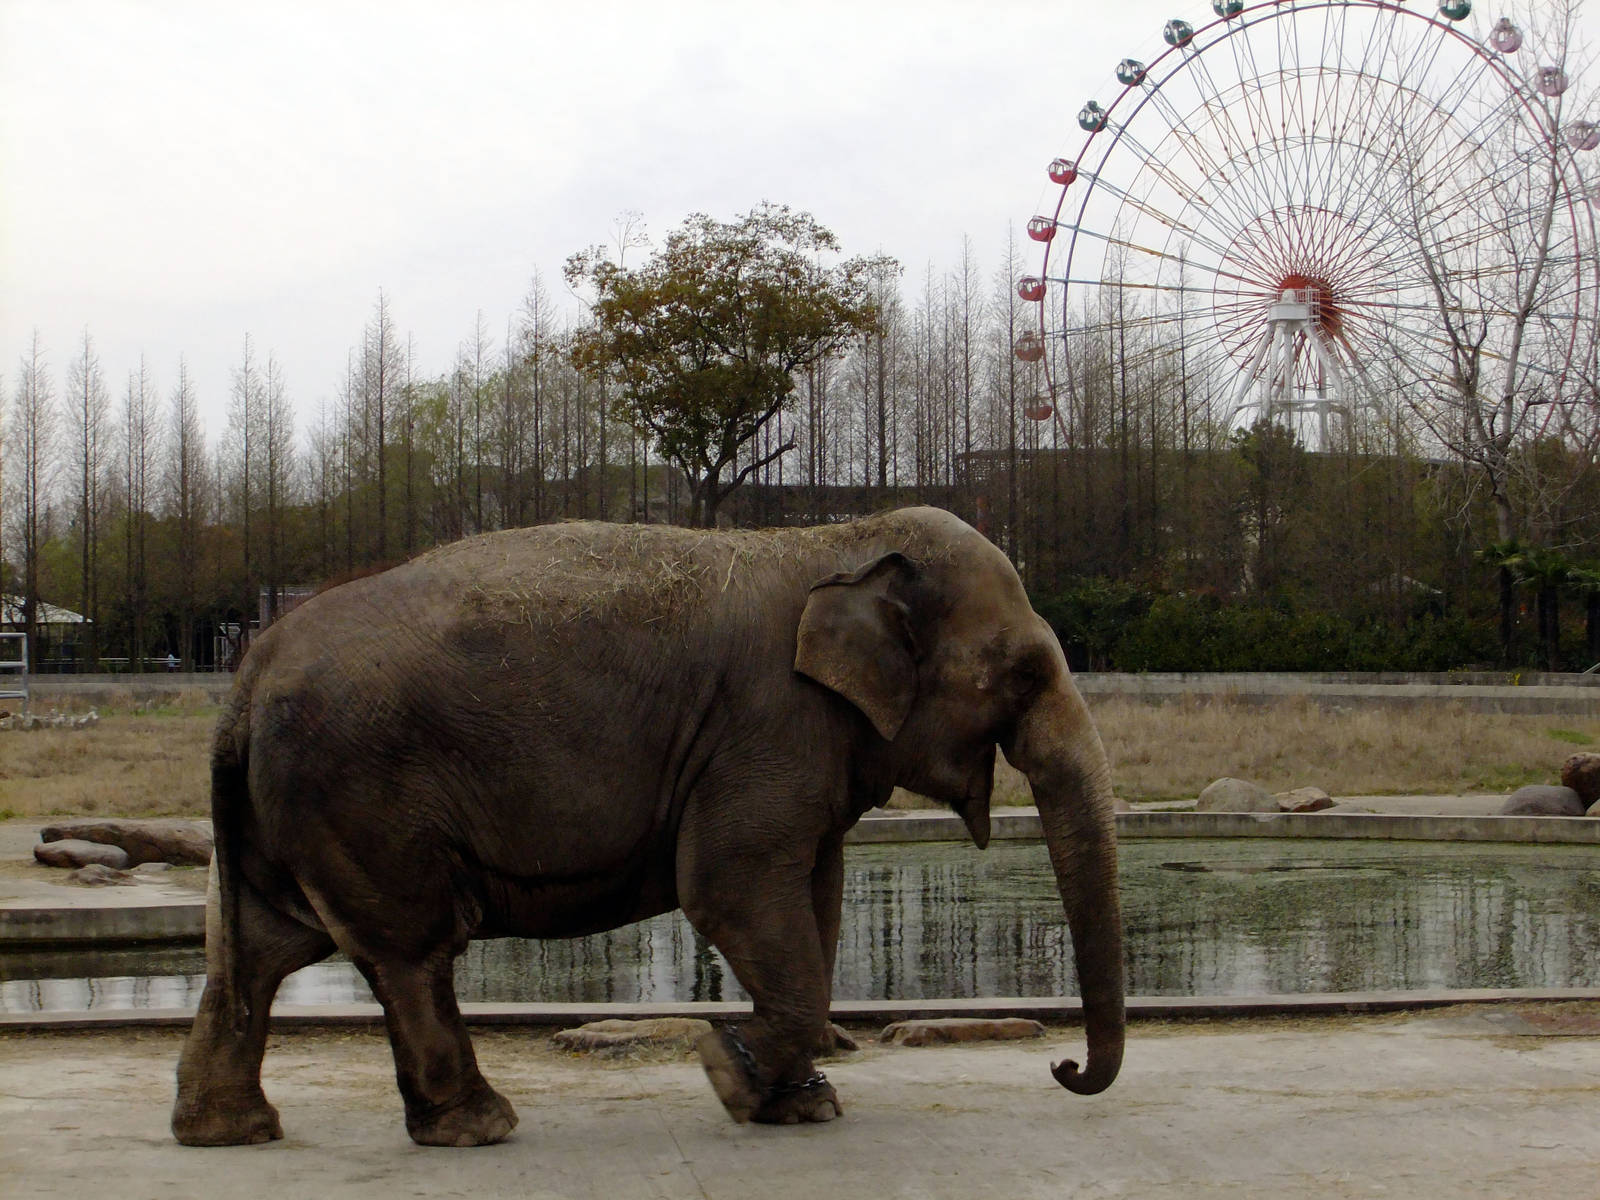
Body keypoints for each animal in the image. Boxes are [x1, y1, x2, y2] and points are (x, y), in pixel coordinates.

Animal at [171, 505, 1124, 1147]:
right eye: (1025, 673)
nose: (1064, 1068)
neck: (839, 539)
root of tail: (244, 677)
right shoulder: (766, 725)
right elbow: (733, 889)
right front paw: (726, 1073)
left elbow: (815, 900)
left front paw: (796, 1104)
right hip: (361, 794)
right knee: (410, 950)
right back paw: (479, 1126)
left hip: (295, 810)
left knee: (258, 946)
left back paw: (228, 1131)